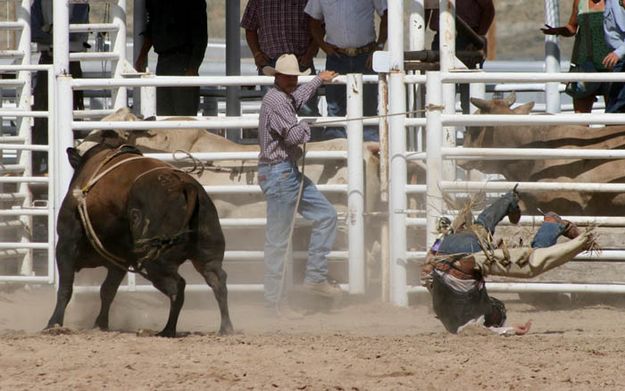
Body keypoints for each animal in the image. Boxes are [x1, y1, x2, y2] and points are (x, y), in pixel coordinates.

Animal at [45, 142, 232, 338]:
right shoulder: (119, 259)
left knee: (177, 286)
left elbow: (66, 288)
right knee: (217, 280)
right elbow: (108, 290)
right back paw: (224, 327)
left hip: (156, 260)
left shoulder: (66, 244)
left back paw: (167, 329)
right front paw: (100, 324)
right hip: (208, 251)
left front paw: (53, 323)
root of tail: (184, 185)